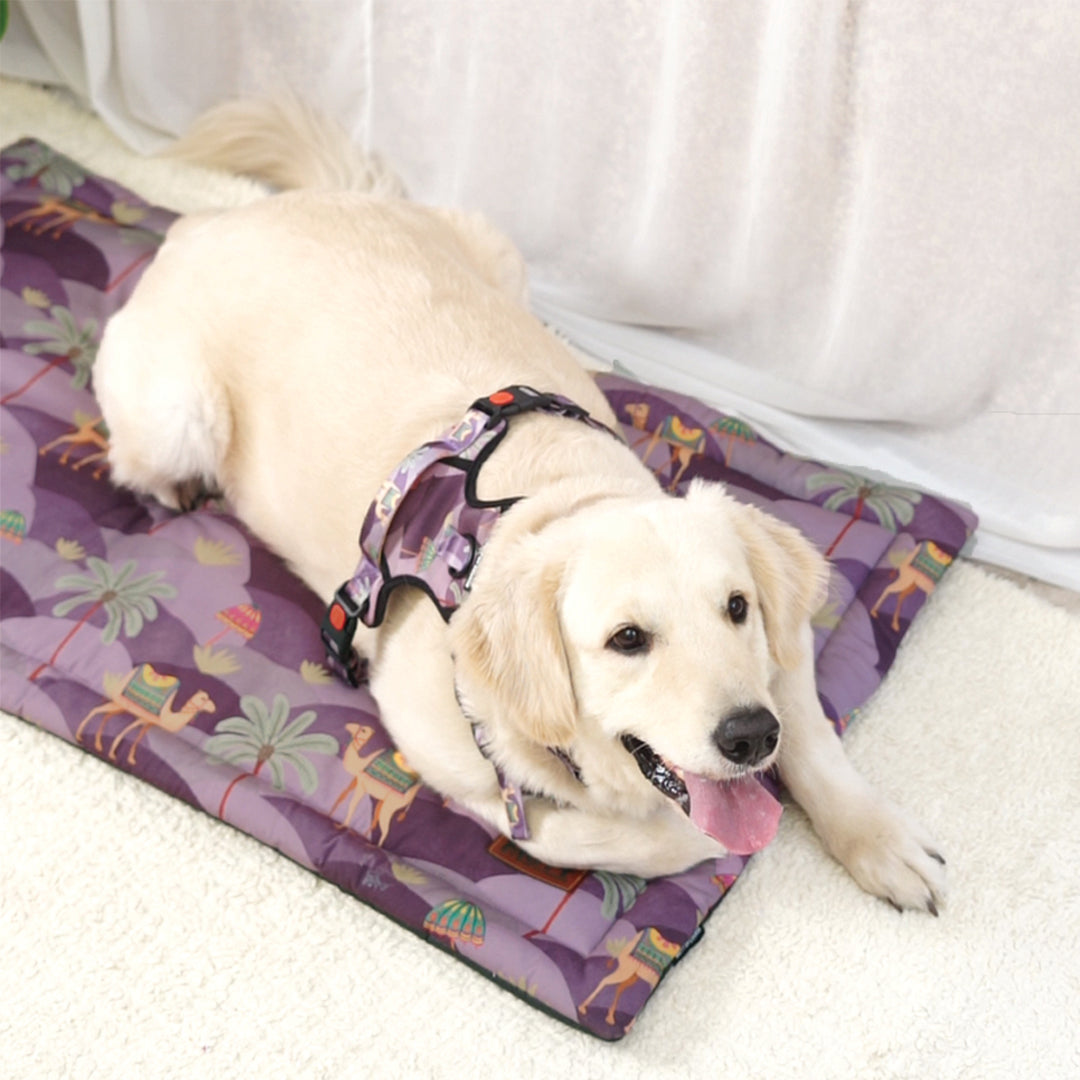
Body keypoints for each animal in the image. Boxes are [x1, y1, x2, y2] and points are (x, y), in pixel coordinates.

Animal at [75, 664, 216, 765]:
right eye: (203, 698)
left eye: (208, 697)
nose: (214, 708)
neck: (166, 716)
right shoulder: (143, 718)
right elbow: (127, 730)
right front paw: (112, 754)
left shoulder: (149, 723)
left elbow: (139, 737)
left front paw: (131, 759)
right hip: (119, 702)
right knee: (96, 710)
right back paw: (79, 736)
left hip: (120, 706)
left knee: (106, 716)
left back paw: (97, 744)